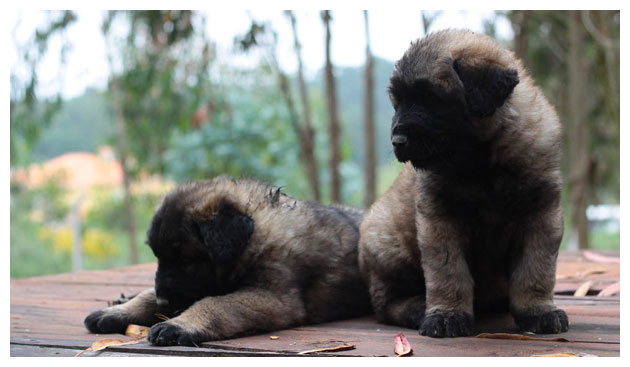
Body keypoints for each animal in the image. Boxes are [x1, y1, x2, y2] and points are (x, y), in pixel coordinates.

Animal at [83, 177, 370, 346]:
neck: (255, 235)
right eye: (159, 256)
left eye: (186, 259)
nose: (164, 302)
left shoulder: (273, 298)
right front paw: (118, 311)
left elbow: (215, 304)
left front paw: (179, 324)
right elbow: (147, 295)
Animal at [358, 28, 572, 338]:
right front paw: (447, 315)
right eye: (397, 102)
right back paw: (417, 307)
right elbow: (448, 273)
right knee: (384, 302)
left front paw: (538, 311)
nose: (397, 141)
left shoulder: (541, 213)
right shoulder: (440, 218)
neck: (482, 162)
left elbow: (536, 270)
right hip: (387, 240)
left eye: (430, 97)